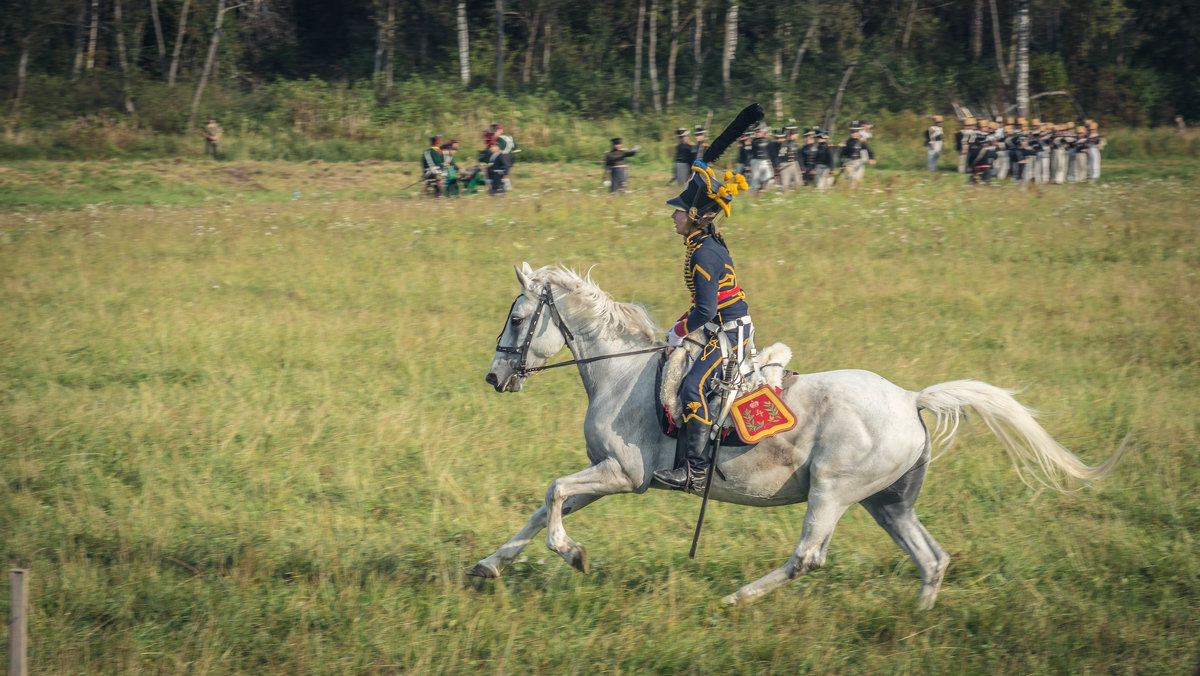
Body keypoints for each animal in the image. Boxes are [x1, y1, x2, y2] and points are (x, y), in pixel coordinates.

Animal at [470, 264, 1123, 607]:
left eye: (518, 317)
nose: (496, 377)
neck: (622, 372)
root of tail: (910, 399)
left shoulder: (624, 475)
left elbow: (554, 494)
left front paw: (573, 554)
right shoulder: (607, 476)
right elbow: (544, 506)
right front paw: (488, 566)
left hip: (833, 490)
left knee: (809, 555)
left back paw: (735, 599)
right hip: (888, 503)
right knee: (931, 559)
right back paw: (919, 621)